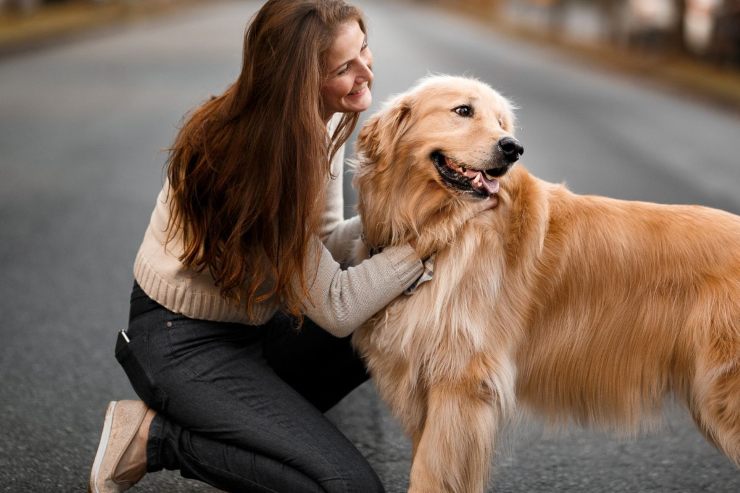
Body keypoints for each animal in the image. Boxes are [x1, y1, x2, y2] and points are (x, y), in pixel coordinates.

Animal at [352, 75, 740, 490]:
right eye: (463, 110)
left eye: (502, 123)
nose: (513, 148)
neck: (438, 224)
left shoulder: (459, 381)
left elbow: (429, 474)